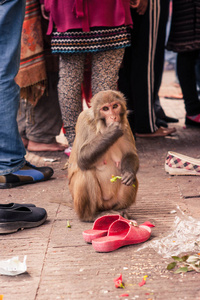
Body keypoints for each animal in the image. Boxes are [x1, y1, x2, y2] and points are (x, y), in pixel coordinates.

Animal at [67, 89, 139, 220]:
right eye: (105, 109)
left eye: (115, 106)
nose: (113, 116)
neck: (101, 126)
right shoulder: (83, 120)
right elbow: (81, 158)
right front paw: (112, 131)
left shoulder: (125, 124)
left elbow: (130, 154)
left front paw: (128, 173)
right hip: (96, 203)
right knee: (85, 174)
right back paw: (92, 216)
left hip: (113, 201)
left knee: (133, 179)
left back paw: (121, 211)